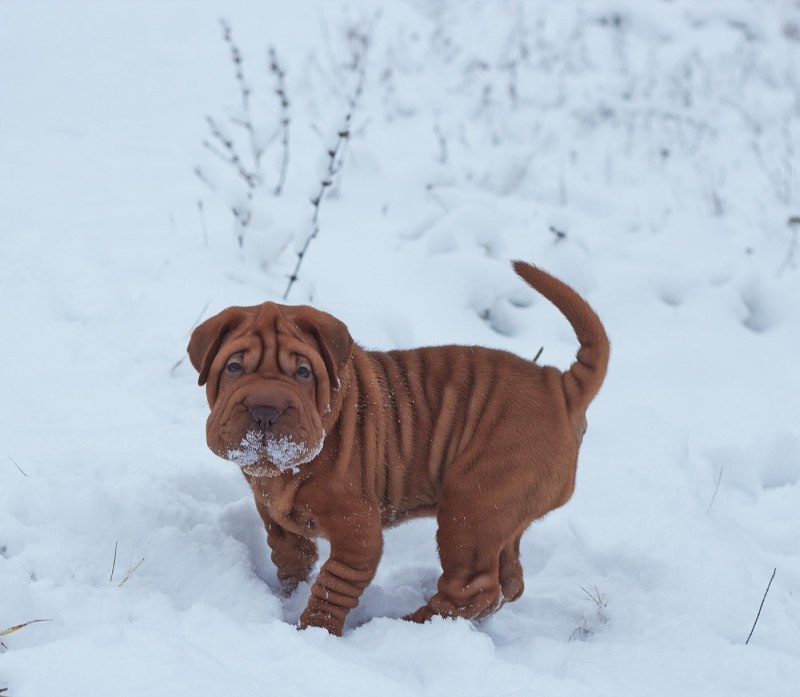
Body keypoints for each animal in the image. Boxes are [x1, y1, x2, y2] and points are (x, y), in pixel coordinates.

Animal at [188, 260, 608, 632]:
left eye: (303, 373)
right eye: (234, 367)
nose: (265, 410)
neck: (281, 471)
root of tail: (560, 386)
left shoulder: (358, 532)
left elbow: (333, 586)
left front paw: (314, 632)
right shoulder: (278, 521)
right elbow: (293, 562)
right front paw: (287, 600)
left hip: (472, 508)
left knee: (474, 589)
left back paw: (406, 626)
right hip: (501, 513)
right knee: (509, 583)